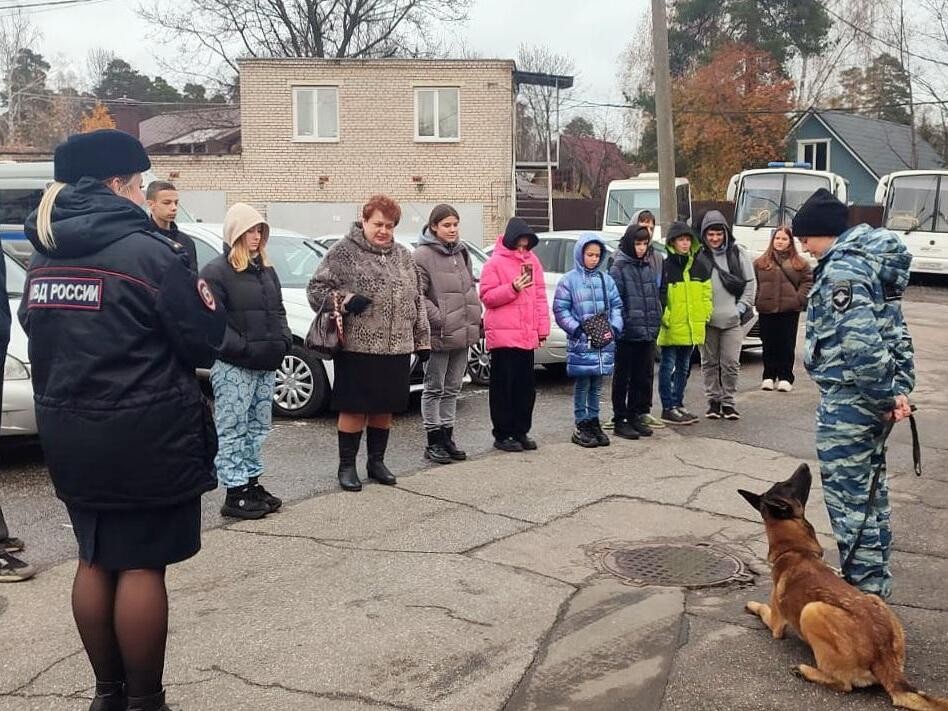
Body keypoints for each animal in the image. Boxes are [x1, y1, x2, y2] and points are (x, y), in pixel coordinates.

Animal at [740, 464, 948, 708]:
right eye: (787, 484)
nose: (805, 466)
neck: (796, 551)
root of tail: (883, 655)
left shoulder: (776, 624)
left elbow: (764, 610)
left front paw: (753, 604)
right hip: (873, 600)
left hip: (811, 611)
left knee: (843, 685)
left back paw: (806, 671)